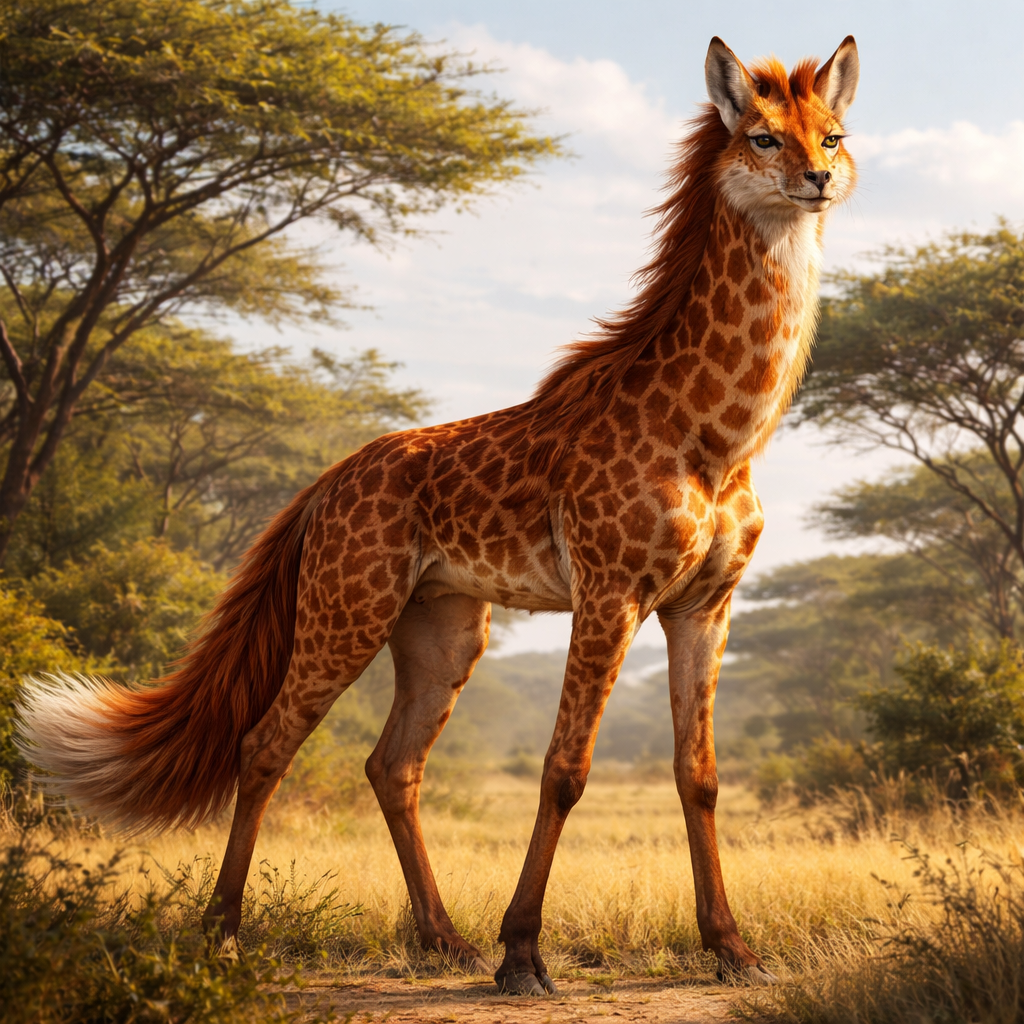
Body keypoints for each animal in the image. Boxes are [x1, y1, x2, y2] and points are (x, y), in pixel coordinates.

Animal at [17, 36, 859, 993]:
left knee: (392, 763)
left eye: (833, 134)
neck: (714, 438)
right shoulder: (608, 591)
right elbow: (565, 769)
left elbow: (701, 775)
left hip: (443, 626)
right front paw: (523, 952)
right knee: (266, 744)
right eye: (762, 137)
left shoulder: (705, 604)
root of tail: (324, 485)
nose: (818, 180)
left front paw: (731, 947)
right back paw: (222, 934)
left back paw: (442, 937)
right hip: (348, 608)